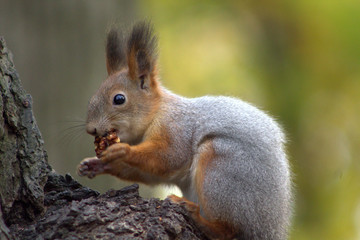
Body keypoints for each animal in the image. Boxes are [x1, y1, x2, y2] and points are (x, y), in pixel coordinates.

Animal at [78, 21, 292, 239]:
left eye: (119, 99)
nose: (91, 129)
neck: (157, 112)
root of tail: (268, 230)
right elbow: (152, 173)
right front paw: (95, 164)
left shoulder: (176, 127)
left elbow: (169, 156)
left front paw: (123, 151)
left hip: (224, 170)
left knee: (228, 230)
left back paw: (196, 216)